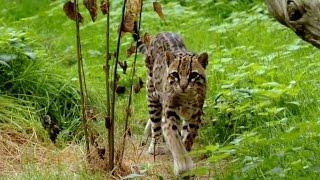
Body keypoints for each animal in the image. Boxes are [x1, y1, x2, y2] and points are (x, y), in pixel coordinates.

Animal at [137, 31, 208, 175]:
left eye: (193, 75)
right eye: (175, 75)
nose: (183, 86)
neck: (186, 97)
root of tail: (159, 33)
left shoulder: (195, 115)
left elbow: (189, 136)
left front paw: (186, 152)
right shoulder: (169, 113)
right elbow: (174, 138)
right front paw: (182, 165)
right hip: (151, 93)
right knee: (156, 124)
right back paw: (156, 145)